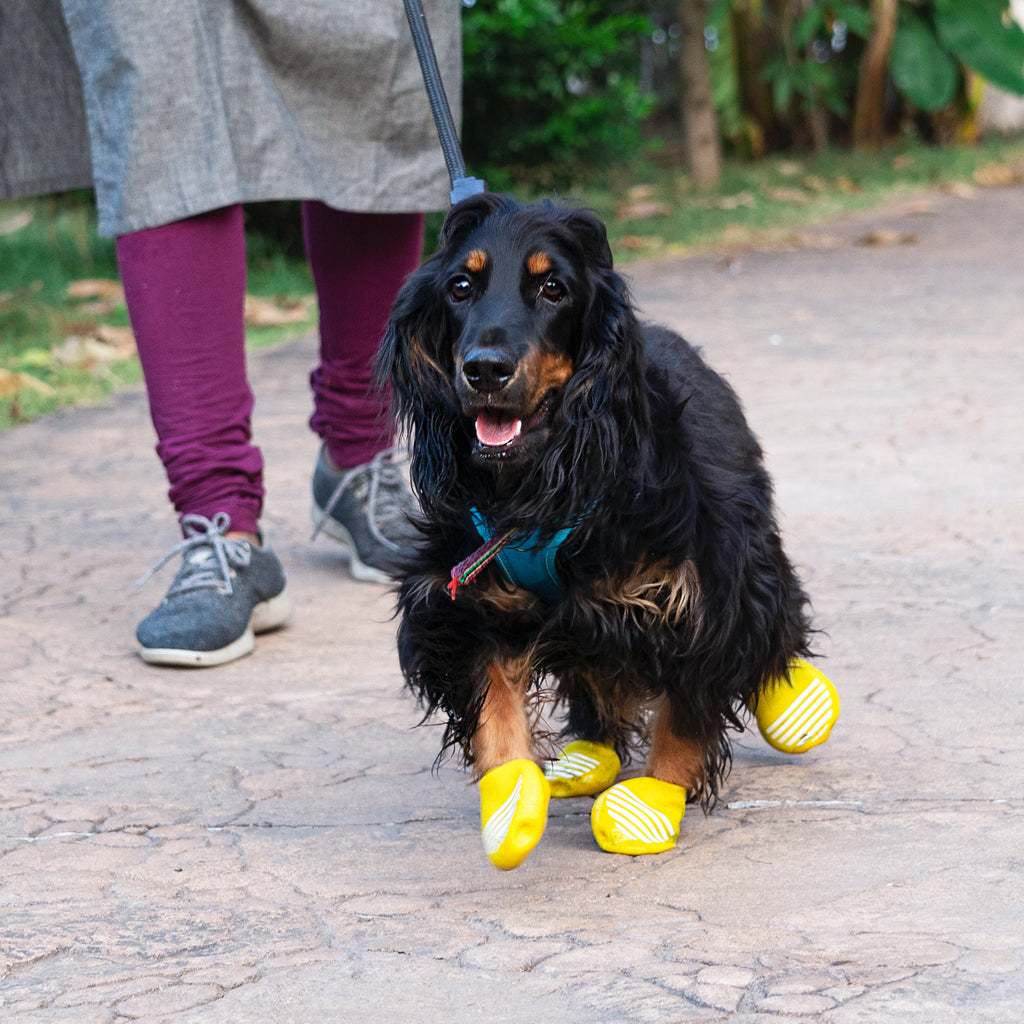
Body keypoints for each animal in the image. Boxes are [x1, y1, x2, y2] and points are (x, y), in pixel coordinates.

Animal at [376, 190, 839, 864]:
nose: (484, 369)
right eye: (460, 286)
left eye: (553, 288)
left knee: (772, 622)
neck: (543, 480)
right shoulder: (464, 594)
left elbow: (689, 705)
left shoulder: (696, 592)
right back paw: (589, 757)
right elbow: (493, 700)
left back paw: (796, 703)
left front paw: (651, 802)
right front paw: (510, 802)